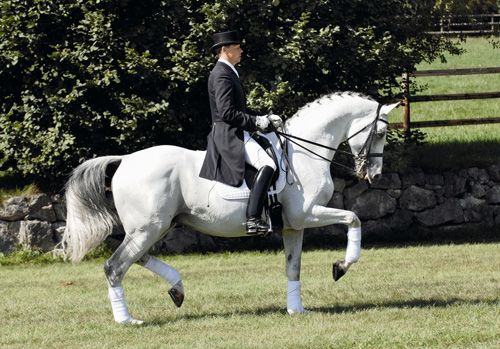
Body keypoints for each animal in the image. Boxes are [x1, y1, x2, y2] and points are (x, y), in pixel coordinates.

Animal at [61, 92, 398, 324]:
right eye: (381, 133)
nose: (376, 175)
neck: (304, 154)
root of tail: (125, 160)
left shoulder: (294, 225)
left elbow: (293, 266)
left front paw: (296, 309)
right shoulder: (308, 214)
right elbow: (353, 218)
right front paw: (342, 266)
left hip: (155, 227)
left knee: (136, 258)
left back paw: (177, 290)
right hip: (149, 228)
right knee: (115, 266)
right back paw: (128, 320)